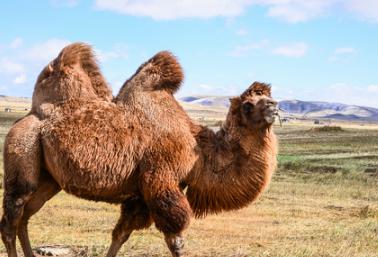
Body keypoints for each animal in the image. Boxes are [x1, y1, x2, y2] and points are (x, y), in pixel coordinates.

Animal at [0, 42, 278, 256]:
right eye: (248, 105)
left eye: (268, 98)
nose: (274, 107)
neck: (198, 151)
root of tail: (30, 114)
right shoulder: (161, 181)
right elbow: (176, 239)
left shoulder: (140, 195)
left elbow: (120, 234)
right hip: (23, 150)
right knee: (12, 219)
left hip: (49, 179)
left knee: (26, 216)